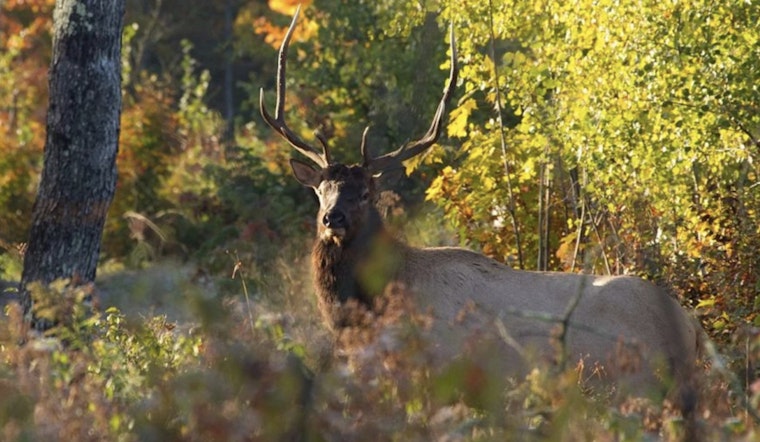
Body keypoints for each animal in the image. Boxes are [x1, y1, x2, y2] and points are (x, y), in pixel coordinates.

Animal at [259, 7, 702, 408]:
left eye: (366, 193)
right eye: (320, 190)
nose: (332, 218)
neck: (374, 309)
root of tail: (690, 327)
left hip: (637, 383)